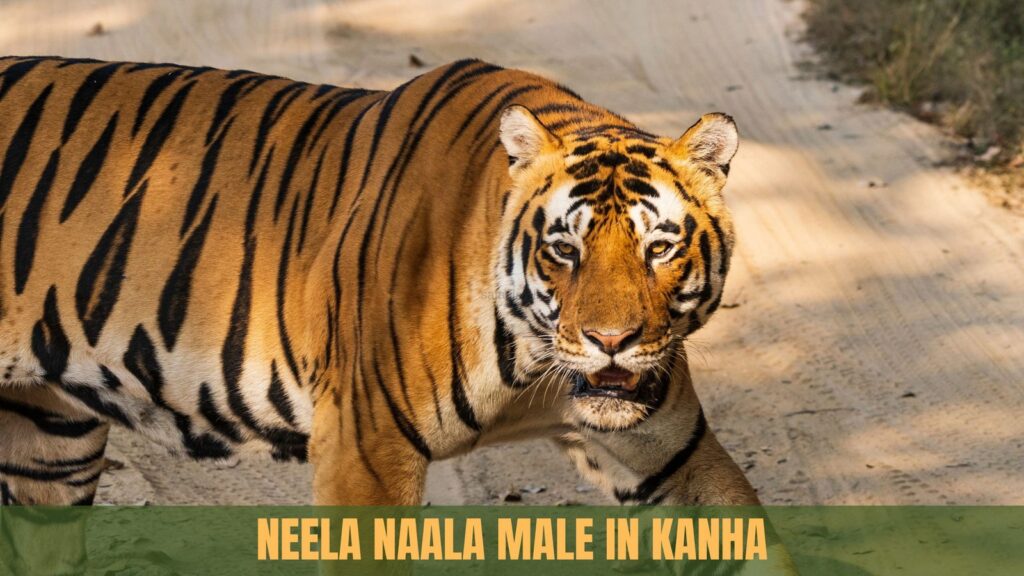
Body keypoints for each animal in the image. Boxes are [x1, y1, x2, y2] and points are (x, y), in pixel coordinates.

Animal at [0, 56, 759, 511]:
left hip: (50, 444)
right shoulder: (363, 450)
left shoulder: (675, 455)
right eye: (563, 250)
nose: (611, 341)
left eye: (659, 248)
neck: (529, 362)